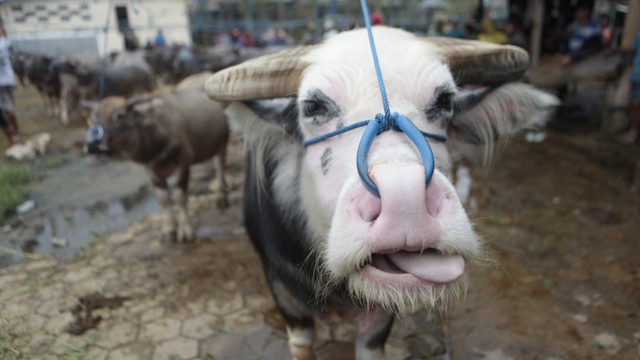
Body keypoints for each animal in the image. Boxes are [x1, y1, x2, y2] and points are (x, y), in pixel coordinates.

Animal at [86, 72, 229, 242]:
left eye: (120, 115)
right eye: (93, 118)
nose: (92, 145)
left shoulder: (183, 165)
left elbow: (180, 197)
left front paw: (185, 230)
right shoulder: (152, 171)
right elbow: (164, 199)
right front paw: (169, 228)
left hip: (222, 143)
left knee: (220, 168)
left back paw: (221, 198)